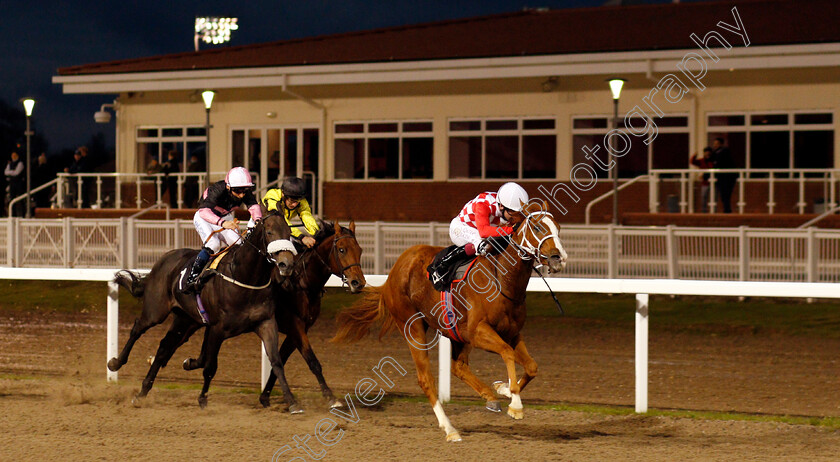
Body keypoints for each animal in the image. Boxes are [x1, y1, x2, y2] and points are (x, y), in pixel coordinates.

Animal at [108, 208, 298, 408]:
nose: (287, 264)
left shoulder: (266, 323)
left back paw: (142, 391)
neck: (245, 278)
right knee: (138, 328)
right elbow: (210, 366)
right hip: (156, 310)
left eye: (289, 233)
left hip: (186, 319)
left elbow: (277, 362)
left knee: (164, 347)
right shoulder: (217, 329)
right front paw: (202, 399)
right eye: (269, 232)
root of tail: (164, 258)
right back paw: (115, 363)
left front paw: (291, 401)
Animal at [258, 221, 366, 412]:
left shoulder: (298, 330)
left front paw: (265, 397)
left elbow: (280, 361)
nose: (358, 283)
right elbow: (313, 362)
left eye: (359, 250)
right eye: (342, 250)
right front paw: (330, 397)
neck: (301, 284)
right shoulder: (295, 326)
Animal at [332, 202, 568, 440]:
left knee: (459, 367)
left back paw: (489, 398)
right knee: (426, 378)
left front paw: (504, 388)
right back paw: (450, 428)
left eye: (558, 227)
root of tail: (392, 274)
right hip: (412, 326)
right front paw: (515, 404)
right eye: (537, 227)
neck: (502, 280)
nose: (558, 258)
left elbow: (531, 366)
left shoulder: (511, 333)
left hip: (454, 332)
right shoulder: (478, 332)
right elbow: (507, 353)